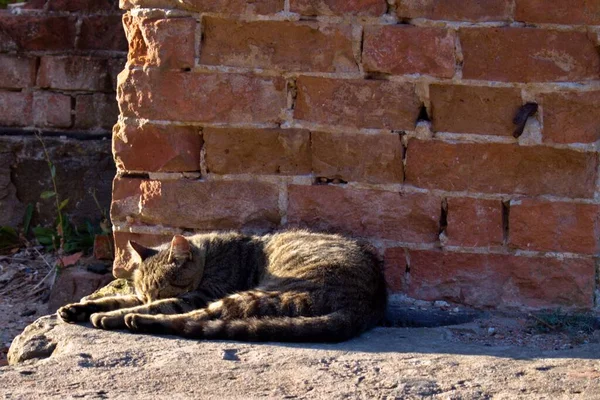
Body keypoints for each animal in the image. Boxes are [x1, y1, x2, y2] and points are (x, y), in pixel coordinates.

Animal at [58, 230, 386, 342]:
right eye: (144, 291)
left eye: (161, 289)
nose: (147, 299)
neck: (209, 256)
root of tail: (367, 307)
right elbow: (115, 299)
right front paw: (76, 308)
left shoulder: (197, 295)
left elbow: (160, 306)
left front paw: (105, 315)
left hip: (257, 295)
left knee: (191, 319)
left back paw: (135, 320)